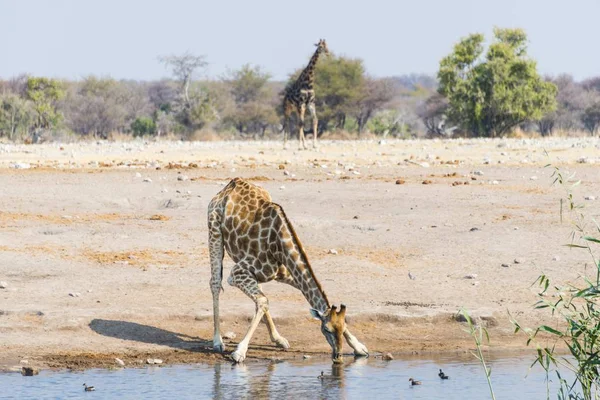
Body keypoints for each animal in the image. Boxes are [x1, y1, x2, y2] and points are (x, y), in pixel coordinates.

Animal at [211, 177, 370, 362]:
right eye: (326, 329)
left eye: (343, 327)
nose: (338, 356)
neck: (280, 246)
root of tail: (232, 184)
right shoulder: (236, 273)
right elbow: (263, 301)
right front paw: (239, 351)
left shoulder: (288, 274)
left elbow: (264, 301)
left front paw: (359, 347)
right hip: (214, 230)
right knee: (215, 283)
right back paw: (218, 341)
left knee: (259, 295)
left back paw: (278, 339)